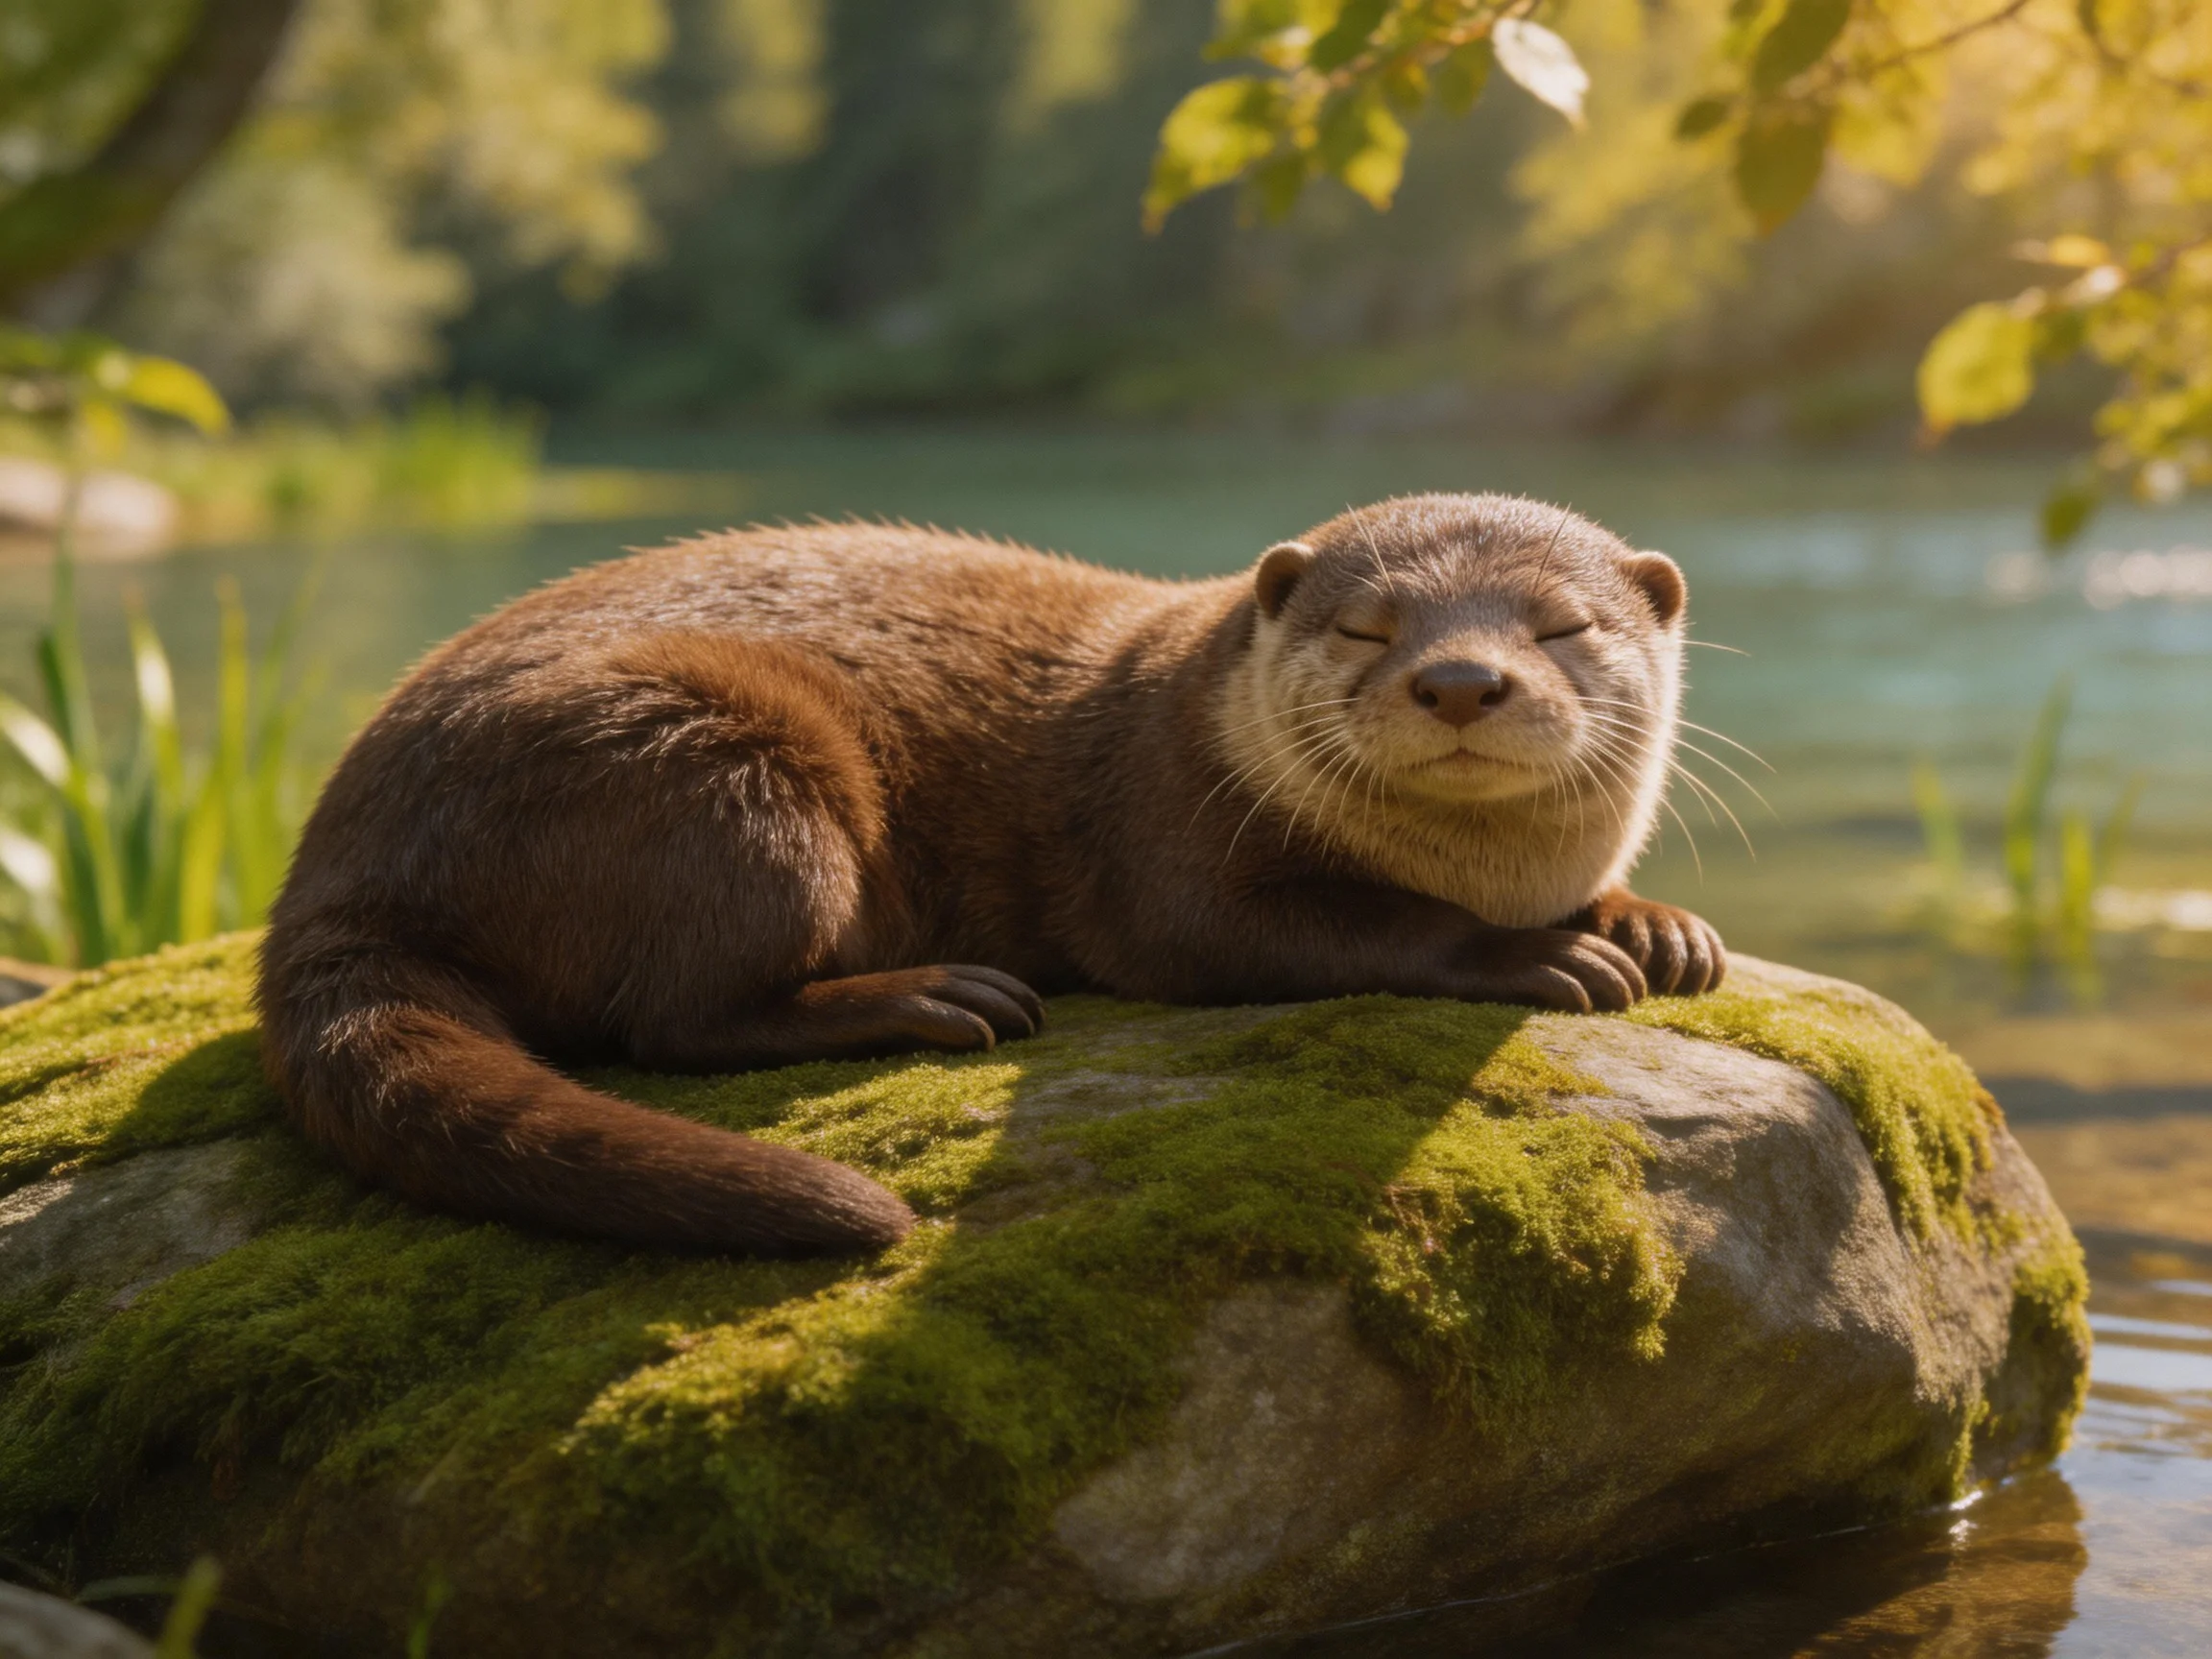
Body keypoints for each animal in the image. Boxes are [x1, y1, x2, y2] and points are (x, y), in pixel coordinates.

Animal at [260, 494, 1724, 1257]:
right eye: (1369, 628)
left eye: (1561, 625)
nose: (1462, 678)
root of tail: (338, 865)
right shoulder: (1168, 837)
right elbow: (1321, 933)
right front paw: (1539, 955)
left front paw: (1657, 926)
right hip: (722, 760)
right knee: (677, 1019)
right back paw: (938, 998)